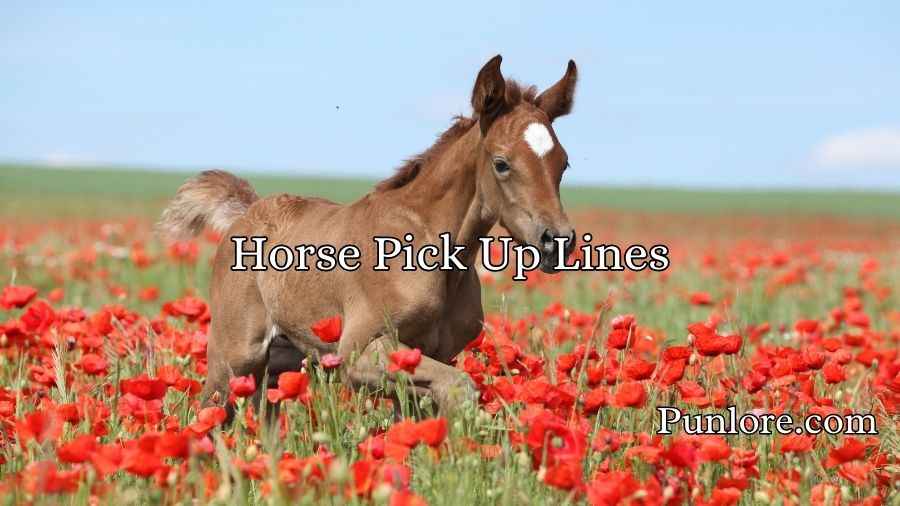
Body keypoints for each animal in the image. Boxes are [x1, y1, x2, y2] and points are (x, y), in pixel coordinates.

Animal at [158, 55, 578, 415]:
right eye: (502, 163)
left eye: (563, 163)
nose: (556, 240)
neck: (431, 249)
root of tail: (247, 212)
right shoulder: (359, 352)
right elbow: (460, 387)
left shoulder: (430, 355)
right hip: (234, 357)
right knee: (210, 415)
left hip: (283, 359)